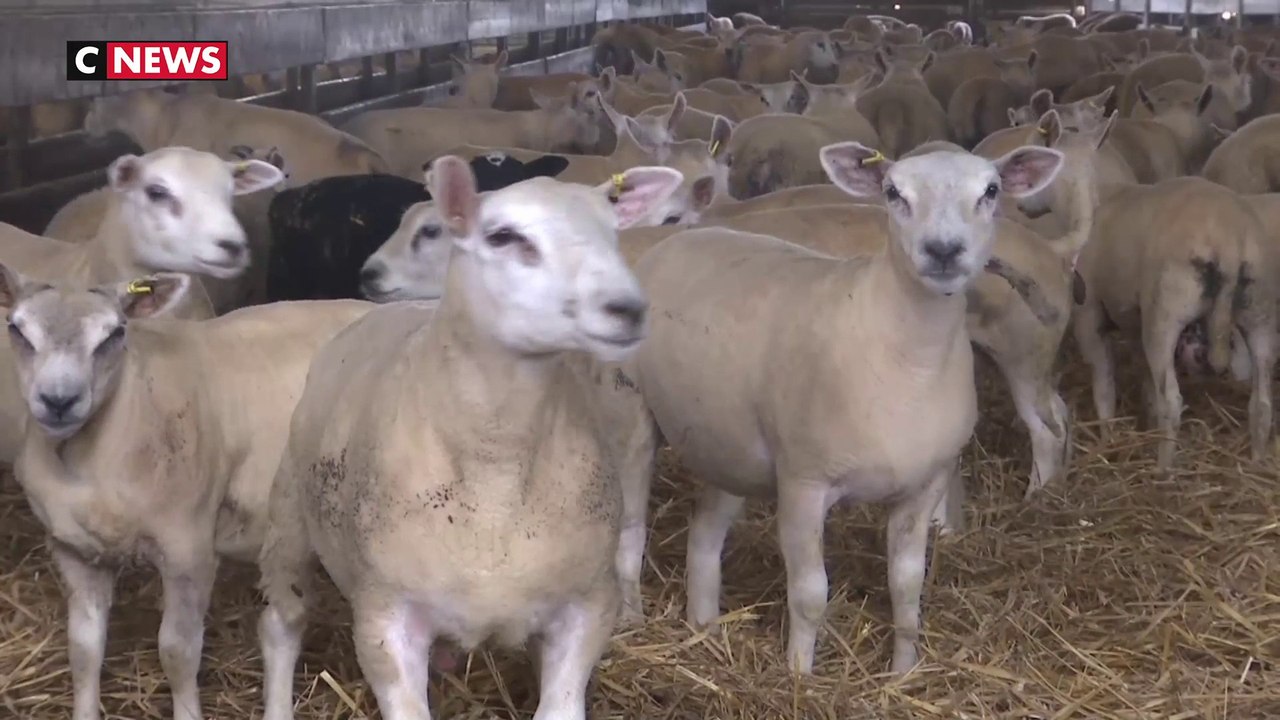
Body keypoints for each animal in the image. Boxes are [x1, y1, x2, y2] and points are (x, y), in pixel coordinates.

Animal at [0, 266, 371, 720]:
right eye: (16, 328)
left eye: (115, 333)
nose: (58, 400)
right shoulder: (74, 551)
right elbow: (83, 650)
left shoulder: (188, 549)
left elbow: (178, 652)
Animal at [605, 142, 1064, 676]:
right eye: (893, 192)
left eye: (990, 191)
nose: (944, 250)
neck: (909, 358)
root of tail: (679, 239)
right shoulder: (804, 485)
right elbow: (810, 595)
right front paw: (798, 676)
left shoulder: (923, 485)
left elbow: (907, 587)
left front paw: (902, 673)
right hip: (630, 414)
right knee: (630, 533)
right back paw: (633, 619)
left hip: (726, 443)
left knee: (703, 535)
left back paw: (705, 628)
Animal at [1072, 176, 1277, 469]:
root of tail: (1230, 239)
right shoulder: (1135, 324)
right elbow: (1144, 380)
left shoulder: (1089, 317)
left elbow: (1104, 385)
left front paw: (1106, 439)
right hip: (1261, 312)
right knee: (1261, 403)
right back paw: (1256, 461)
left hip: (1166, 315)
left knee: (1171, 402)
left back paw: (1163, 469)